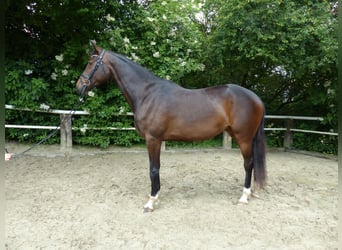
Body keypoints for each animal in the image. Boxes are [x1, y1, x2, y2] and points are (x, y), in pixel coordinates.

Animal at [76, 42, 266, 212]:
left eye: (91, 62)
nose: (78, 86)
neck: (147, 94)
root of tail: (255, 97)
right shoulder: (156, 140)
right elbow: (156, 168)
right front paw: (156, 197)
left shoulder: (153, 139)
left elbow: (153, 169)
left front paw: (151, 202)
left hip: (243, 138)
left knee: (248, 164)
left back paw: (244, 197)